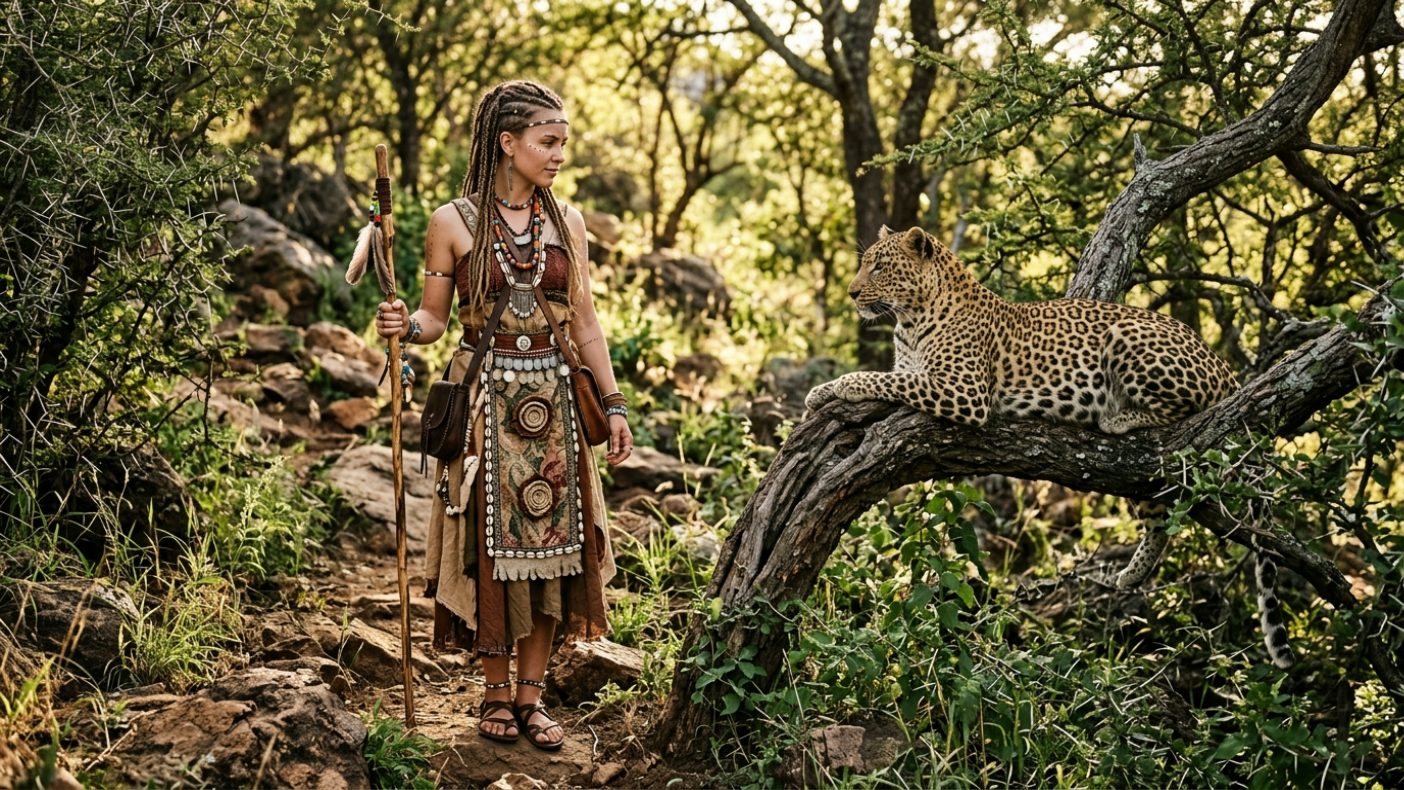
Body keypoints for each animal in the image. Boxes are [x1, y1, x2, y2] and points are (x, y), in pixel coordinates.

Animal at [806, 225, 1293, 668]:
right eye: (866, 263)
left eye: (879, 266)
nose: (852, 293)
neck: (910, 321)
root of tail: (1219, 361)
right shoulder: (923, 374)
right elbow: (890, 376)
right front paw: (822, 392)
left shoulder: (962, 391)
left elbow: (880, 379)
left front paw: (833, 388)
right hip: (1143, 479)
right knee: (1160, 519)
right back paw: (1130, 574)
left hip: (1128, 338)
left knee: (1179, 409)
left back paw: (1115, 415)